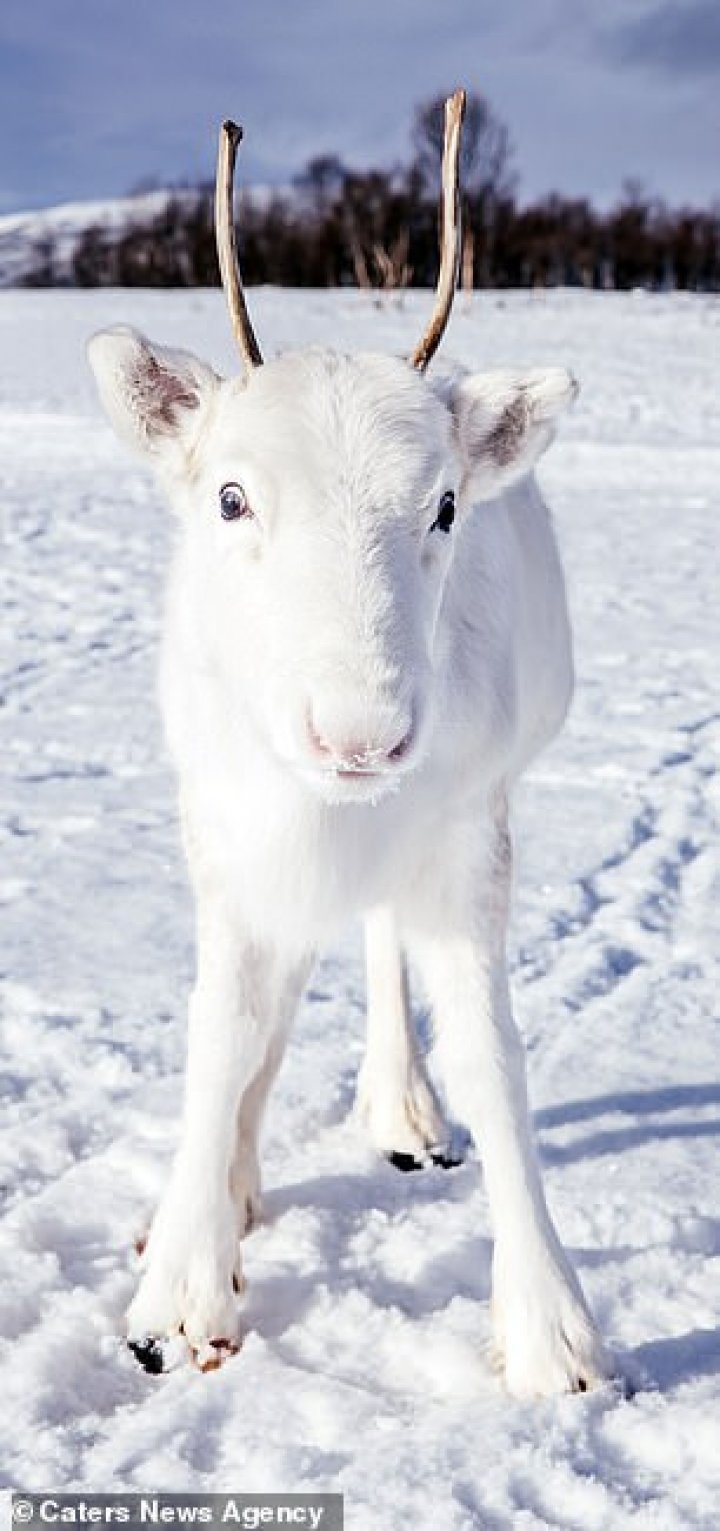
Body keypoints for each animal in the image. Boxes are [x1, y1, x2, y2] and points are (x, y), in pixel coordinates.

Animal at [87, 98, 609, 1402]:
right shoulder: (226, 829)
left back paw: (399, 1110)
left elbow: (492, 1054)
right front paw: (183, 1286)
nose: (362, 733)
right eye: (230, 497)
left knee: (377, 949)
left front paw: (552, 1330)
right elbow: (225, 1029)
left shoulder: (469, 830)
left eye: (446, 505)